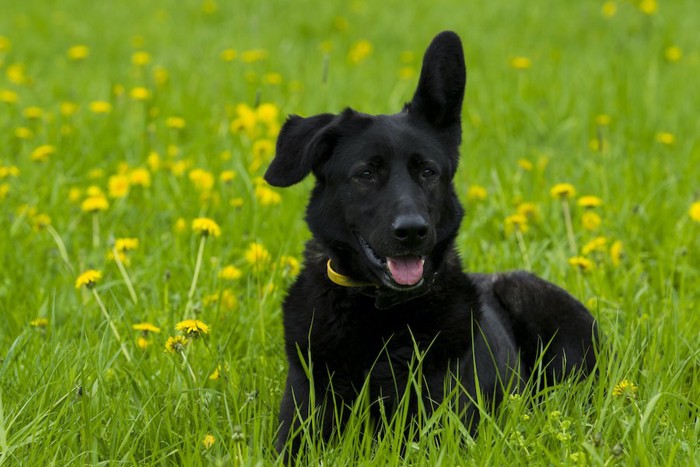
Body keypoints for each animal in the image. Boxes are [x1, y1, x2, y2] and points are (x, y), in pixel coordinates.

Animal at [264, 32, 596, 458]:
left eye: (427, 171)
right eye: (366, 174)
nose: (412, 231)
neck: (379, 314)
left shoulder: (440, 434)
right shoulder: (298, 429)